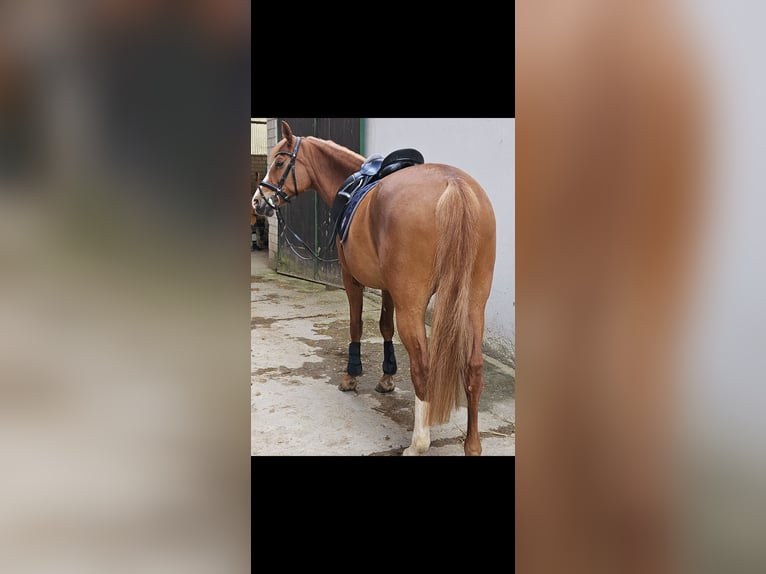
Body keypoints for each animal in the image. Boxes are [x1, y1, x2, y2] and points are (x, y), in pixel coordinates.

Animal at [253, 120, 497, 456]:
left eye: (279, 162)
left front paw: (351, 376)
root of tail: (454, 184)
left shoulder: (350, 279)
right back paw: (472, 445)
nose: (258, 201)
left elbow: (356, 326)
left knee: (422, 367)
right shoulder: (389, 289)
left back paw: (418, 443)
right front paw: (387, 377)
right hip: (474, 302)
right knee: (474, 367)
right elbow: (383, 327)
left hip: (413, 305)